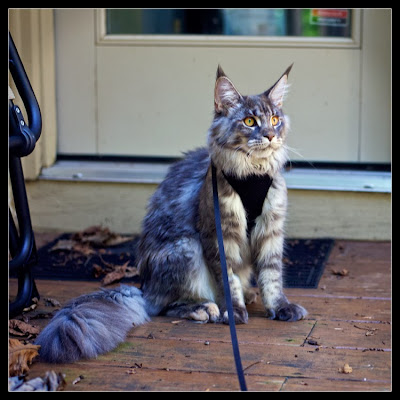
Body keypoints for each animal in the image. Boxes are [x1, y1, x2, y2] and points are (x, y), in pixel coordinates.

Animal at [36, 65, 308, 362]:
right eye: (249, 121)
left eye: (274, 119)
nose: (270, 135)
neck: (253, 174)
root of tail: (145, 289)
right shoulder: (218, 234)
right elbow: (228, 281)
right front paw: (233, 311)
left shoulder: (271, 231)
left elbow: (272, 277)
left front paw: (279, 307)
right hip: (186, 249)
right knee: (167, 306)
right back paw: (205, 308)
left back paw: (246, 295)